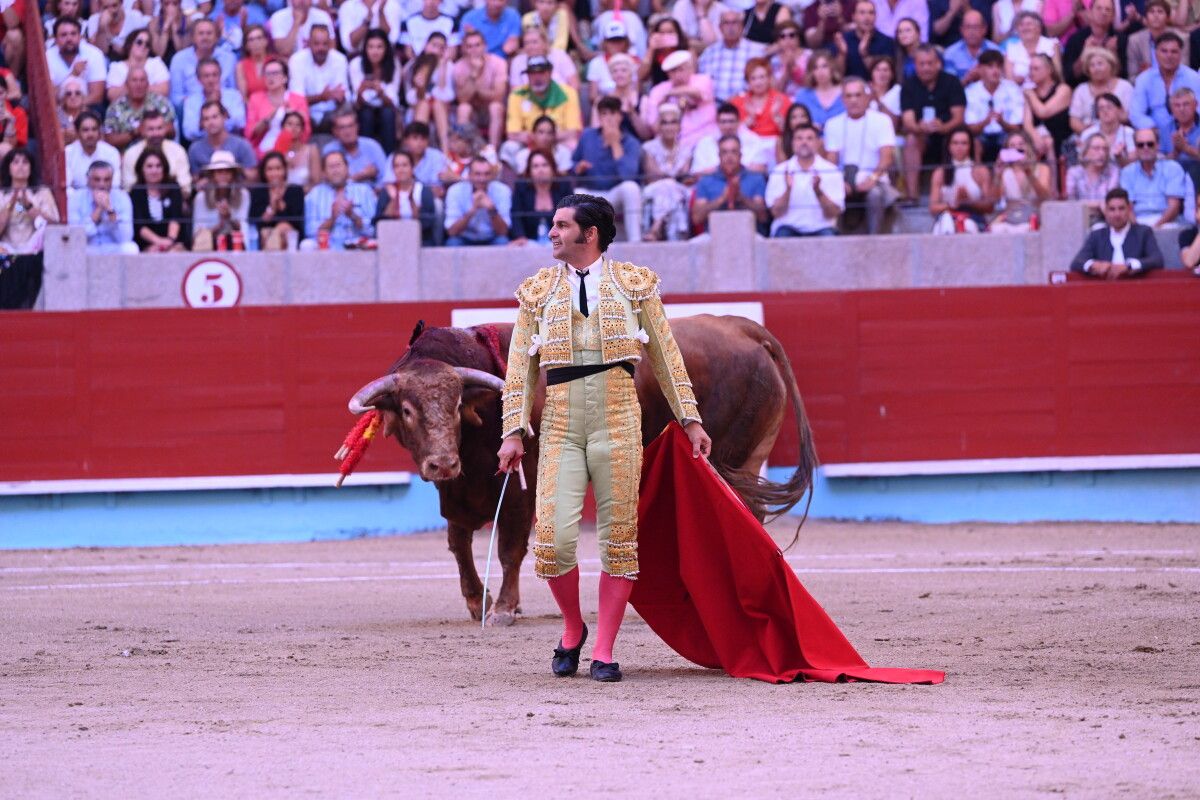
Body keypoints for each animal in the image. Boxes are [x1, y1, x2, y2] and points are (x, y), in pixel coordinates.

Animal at [343, 314, 820, 623]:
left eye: (458, 404)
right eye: (407, 410)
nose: (442, 462)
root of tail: (745, 328)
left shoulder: (522, 486)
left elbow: (512, 546)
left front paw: (504, 609)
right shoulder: (456, 493)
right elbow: (459, 546)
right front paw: (476, 601)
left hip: (733, 458)